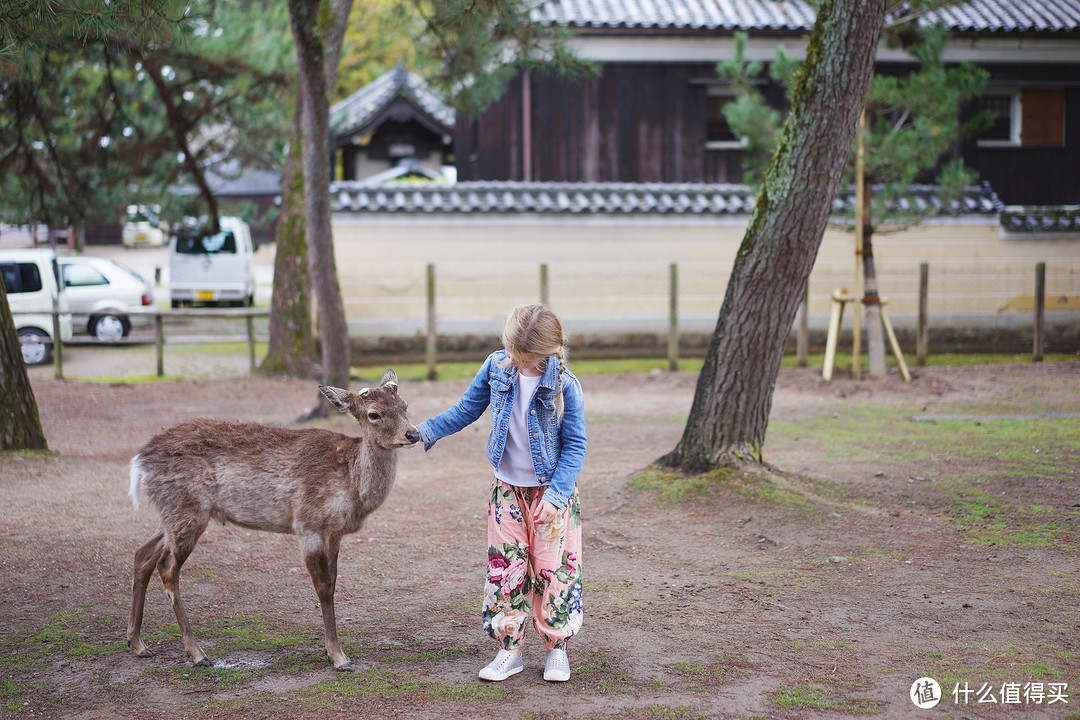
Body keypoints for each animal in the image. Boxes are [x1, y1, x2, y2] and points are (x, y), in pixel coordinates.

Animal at [124, 371, 414, 669]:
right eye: (374, 414)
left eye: (405, 405)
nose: (413, 434)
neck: (352, 484)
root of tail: (139, 461)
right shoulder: (307, 523)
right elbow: (323, 588)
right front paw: (338, 656)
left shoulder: (335, 532)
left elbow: (333, 584)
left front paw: (328, 649)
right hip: (187, 509)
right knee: (167, 567)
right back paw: (196, 652)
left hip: (172, 512)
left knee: (142, 554)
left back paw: (138, 643)